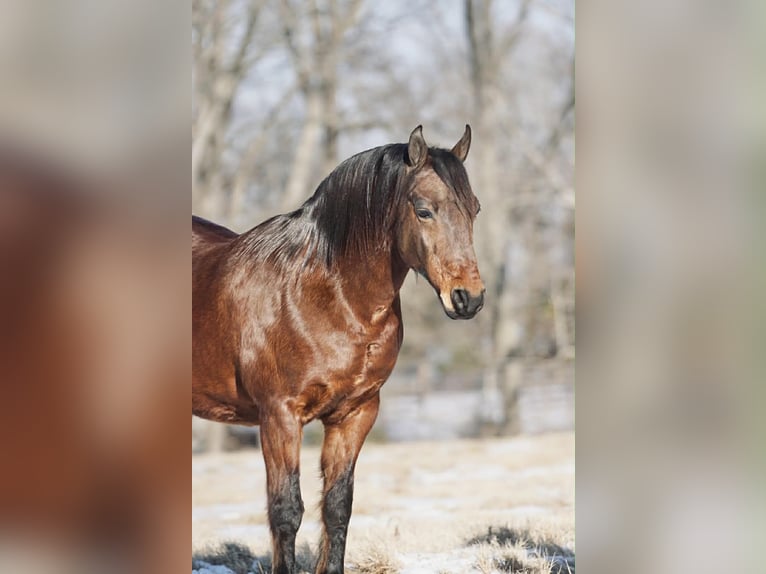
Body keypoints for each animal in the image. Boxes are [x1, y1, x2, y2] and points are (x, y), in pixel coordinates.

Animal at [192, 125, 485, 574]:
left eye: (475, 210)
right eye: (424, 210)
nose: (468, 298)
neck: (328, 295)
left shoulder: (354, 414)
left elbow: (337, 507)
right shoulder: (279, 417)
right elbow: (286, 511)